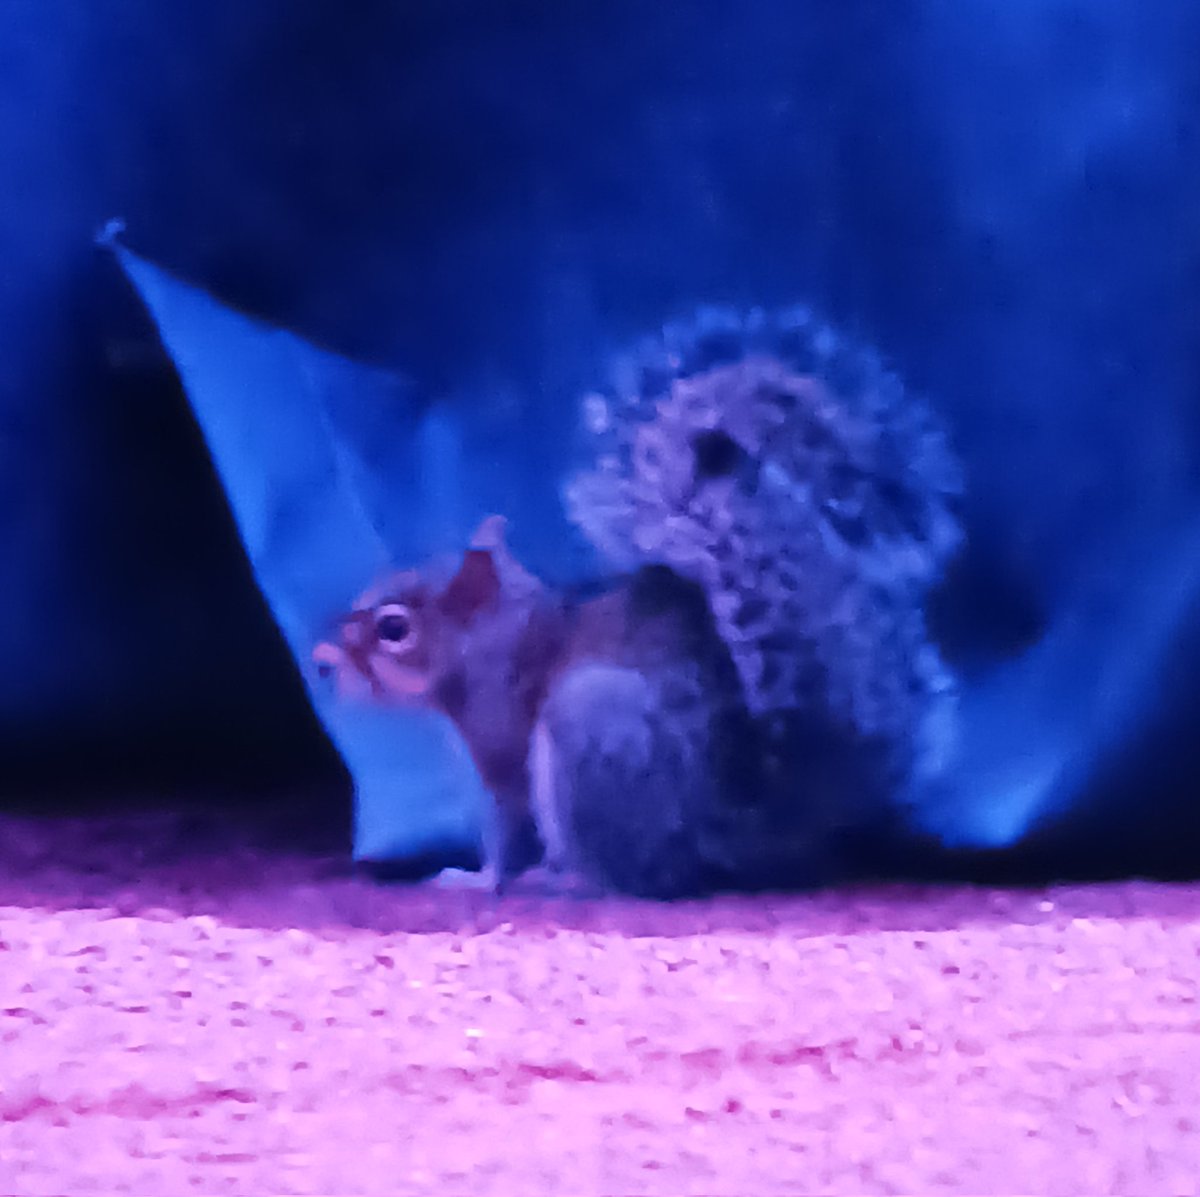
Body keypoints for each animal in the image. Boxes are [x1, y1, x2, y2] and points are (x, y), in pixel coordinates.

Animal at [312, 306, 963, 898]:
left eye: (394, 628)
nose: (321, 658)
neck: (494, 638)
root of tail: (750, 826)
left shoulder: (501, 739)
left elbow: (508, 829)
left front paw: (474, 880)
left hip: (590, 730)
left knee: (628, 880)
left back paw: (566, 880)